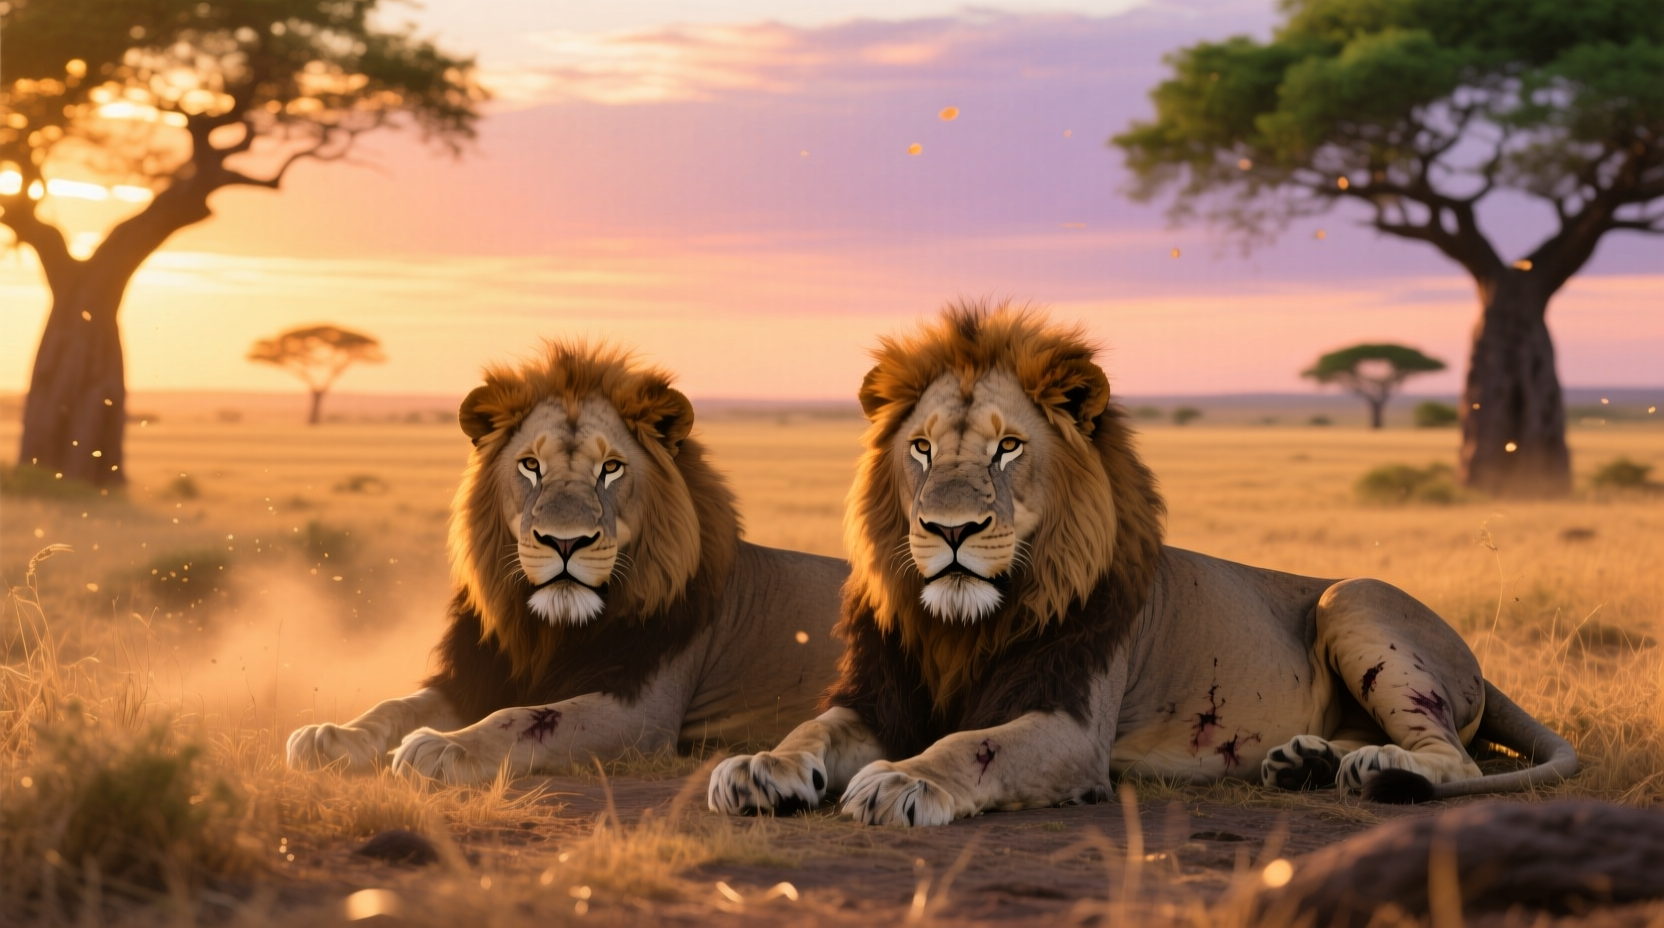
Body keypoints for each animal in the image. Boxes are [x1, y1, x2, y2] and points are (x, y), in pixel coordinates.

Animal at [287, 342, 847, 783]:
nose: (564, 542)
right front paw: (329, 736)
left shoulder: (642, 713)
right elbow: (396, 704)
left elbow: (522, 717)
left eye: (611, 468)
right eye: (530, 466)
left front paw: (443, 746)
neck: (547, 630)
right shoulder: (479, 674)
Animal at [709, 304, 1576, 826]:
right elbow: (811, 730)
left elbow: (970, 746)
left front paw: (903, 780)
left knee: (1452, 758)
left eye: (1008, 447)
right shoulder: (878, 696)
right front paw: (756, 768)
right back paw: (1305, 761)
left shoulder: (1070, 724)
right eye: (920, 448)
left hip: (1352, 597)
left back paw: (1373, 767)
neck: (964, 624)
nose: (949, 529)